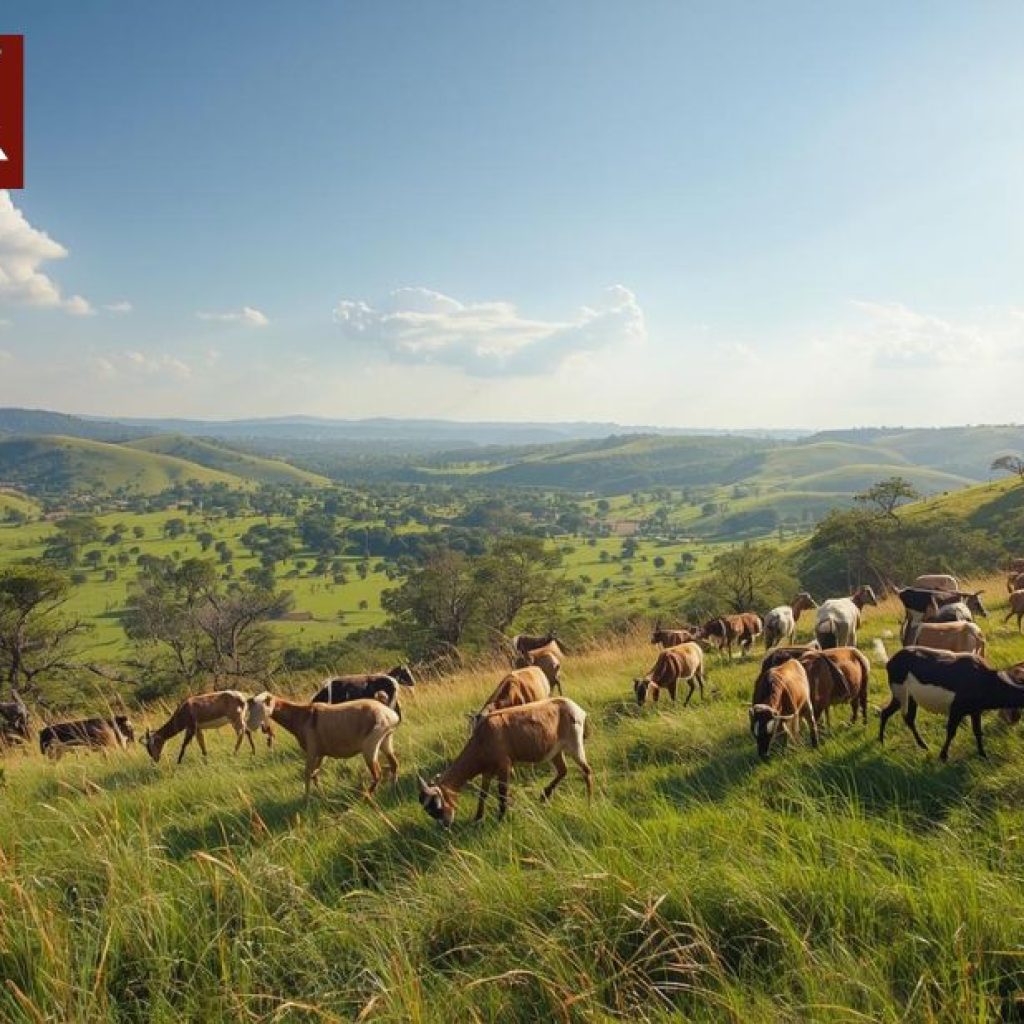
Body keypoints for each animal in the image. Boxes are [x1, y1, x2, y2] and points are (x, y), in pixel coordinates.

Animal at [142, 690, 272, 764]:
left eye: (152, 745)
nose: (155, 760)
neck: (185, 708)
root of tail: (244, 697)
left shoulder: (191, 728)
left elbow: (184, 745)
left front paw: (178, 762)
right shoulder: (197, 729)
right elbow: (202, 744)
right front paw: (206, 760)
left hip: (235, 720)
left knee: (242, 733)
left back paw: (234, 754)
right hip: (239, 720)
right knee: (247, 731)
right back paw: (253, 752)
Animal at [249, 694, 399, 798]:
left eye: (263, 707)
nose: (252, 726)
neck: (302, 716)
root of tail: (390, 715)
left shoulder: (312, 752)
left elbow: (307, 773)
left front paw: (306, 800)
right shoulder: (321, 754)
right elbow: (315, 774)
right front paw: (321, 795)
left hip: (370, 746)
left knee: (378, 774)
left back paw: (365, 797)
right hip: (386, 740)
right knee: (394, 764)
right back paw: (392, 789)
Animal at [418, 697, 592, 826]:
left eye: (437, 806)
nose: (446, 824)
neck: (483, 737)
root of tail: (577, 709)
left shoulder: (504, 766)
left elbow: (502, 793)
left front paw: (500, 819)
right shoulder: (487, 771)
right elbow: (483, 794)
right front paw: (478, 818)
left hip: (574, 744)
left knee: (586, 770)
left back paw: (589, 801)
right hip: (555, 751)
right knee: (563, 771)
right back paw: (544, 795)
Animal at [880, 647, 1024, 760]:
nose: (1015, 719)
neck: (984, 679)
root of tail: (890, 661)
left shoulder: (975, 711)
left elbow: (977, 731)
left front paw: (983, 755)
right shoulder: (956, 709)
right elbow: (951, 732)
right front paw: (943, 756)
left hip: (910, 698)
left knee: (895, 715)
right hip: (901, 694)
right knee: (898, 715)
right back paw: (884, 742)